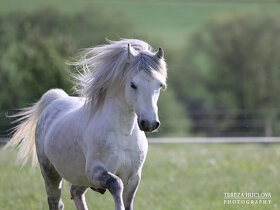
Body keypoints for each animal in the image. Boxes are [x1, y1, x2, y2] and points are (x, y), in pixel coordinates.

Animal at [4, 39, 166, 210]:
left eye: (159, 85)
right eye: (133, 84)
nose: (149, 123)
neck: (124, 133)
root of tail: (55, 100)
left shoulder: (133, 178)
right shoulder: (96, 172)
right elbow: (116, 184)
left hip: (81, 178)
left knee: (75, 192)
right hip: (50, 172)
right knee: (55, 202)